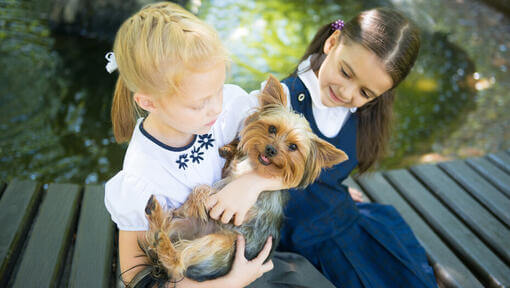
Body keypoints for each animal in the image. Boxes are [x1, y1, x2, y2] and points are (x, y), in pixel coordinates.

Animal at [138, 75, 346, 284]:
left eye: (293, 147)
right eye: (272, 128)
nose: (271, 149)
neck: (252, 166)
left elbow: (205, 188)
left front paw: (199, 199)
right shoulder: (228, 172)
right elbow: (209, 182)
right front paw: (229, 149)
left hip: (221, 244)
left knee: (175, 263)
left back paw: (161, 236)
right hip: (185, 226)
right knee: (161, 243)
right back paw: (156, 217)